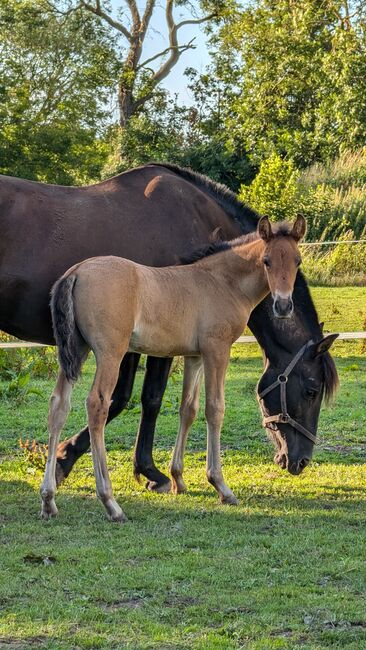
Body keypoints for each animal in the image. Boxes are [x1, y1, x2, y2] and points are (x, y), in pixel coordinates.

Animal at [0, 165, 338, 484]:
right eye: (311, 390)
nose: (300, 461)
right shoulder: (156, 344)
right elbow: (146, 399)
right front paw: (147, 471)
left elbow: (125, 399)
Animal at [40, 215, 306, 520]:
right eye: (266, 261)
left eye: (297, 260)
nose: (283, 306)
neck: (222, 282)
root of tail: (76, 271)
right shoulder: (217, 350)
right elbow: (215, 409)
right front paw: (221, 486)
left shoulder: (195, 356)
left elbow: (188, 409)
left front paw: (178, 478)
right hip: (110, 353)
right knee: (97, 405)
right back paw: (110, 502)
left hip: (76, 351)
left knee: (58, 405)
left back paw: (48, 500)